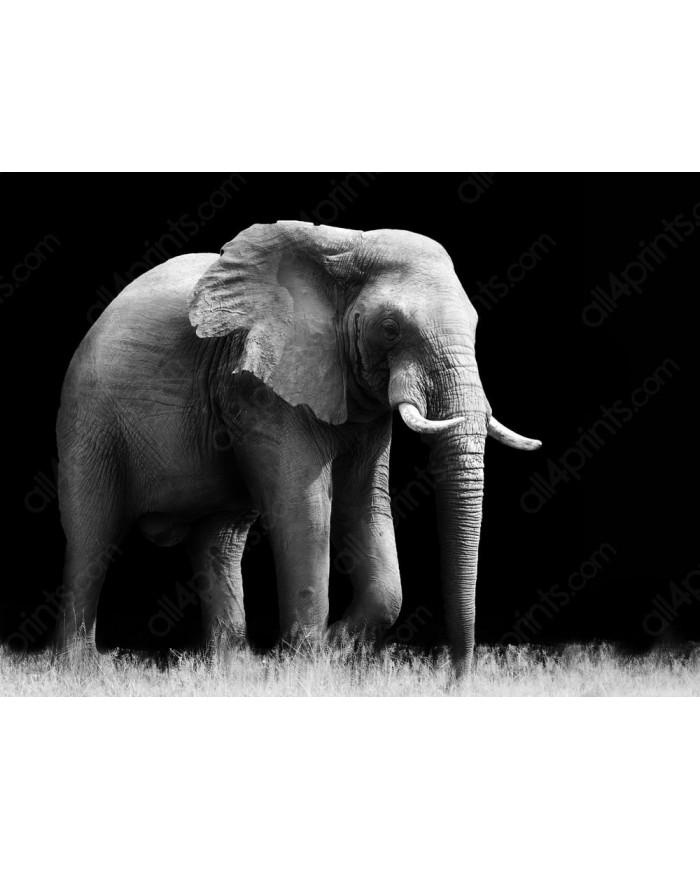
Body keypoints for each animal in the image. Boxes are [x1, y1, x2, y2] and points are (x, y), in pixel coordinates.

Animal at [55, 220, 541, 675]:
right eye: (390, 329)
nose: (456, 678)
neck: (344, 247)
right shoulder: (259, 386)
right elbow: (303, 505)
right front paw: (307, 663)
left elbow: (364, 503)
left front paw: (337, 648)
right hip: (89, 419)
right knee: (92, 534)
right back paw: (80, 670)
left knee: (220, 541)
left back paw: (232, 669)